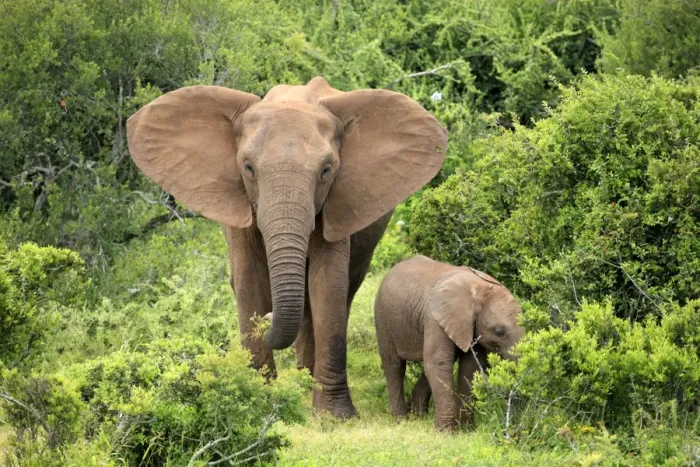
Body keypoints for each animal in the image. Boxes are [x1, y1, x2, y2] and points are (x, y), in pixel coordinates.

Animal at [126, 77, 447, 418]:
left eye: (326, 170)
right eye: (248, 167)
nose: (267, 320)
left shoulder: (338, 203)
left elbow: (328, 286)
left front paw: (335, 416)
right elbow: (249, 280)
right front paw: (258, 397)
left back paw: (306, 378)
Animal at [374, 255, 524, 431]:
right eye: (499, 332)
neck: (480, 289)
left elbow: (470, 368)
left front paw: (467, 430)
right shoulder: (435, 319)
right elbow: (438, 362)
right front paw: (446, 432)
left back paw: (418, 414)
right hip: (383, 317)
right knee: (394, 365)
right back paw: (401, 419)